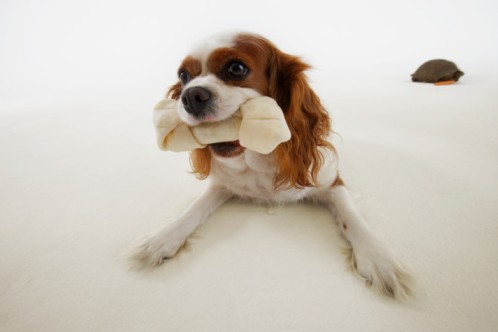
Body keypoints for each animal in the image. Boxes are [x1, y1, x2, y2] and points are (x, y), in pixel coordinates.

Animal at [128, 32, 412, 300]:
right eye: (184, 75)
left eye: (236, 68)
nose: (190, 96)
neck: (257, 155)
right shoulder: (221, 185)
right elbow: (194, 209)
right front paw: (163, 238)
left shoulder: (332, 182)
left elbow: (351, 217)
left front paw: (377, 257)